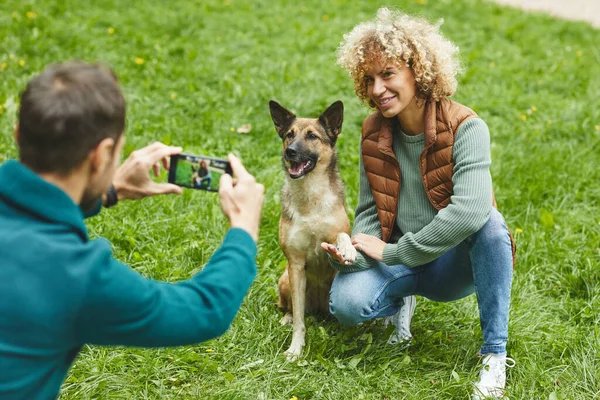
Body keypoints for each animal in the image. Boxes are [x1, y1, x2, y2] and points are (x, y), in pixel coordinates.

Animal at [268, 101, 356, 362]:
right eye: (289, 135)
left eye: (312, 136)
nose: (290, 152)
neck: (310, 198)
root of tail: (318, 307)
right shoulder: (295, 264)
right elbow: (299, 320)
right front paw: (295, 349)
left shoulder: (336, 233)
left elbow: (342, 235)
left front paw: (348, 248)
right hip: (286, 279)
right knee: (290, 307)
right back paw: (286, 318)